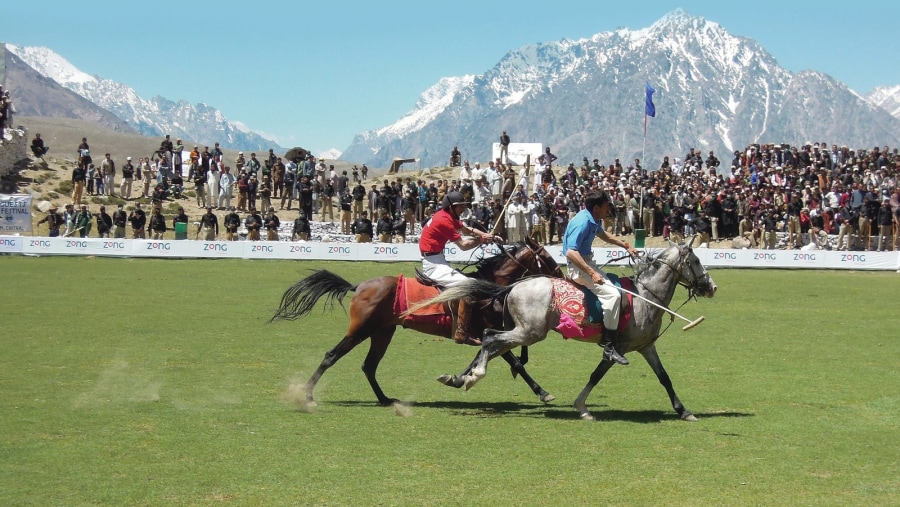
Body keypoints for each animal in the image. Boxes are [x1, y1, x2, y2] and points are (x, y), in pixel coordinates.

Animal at [270, 236, 560, 406]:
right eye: (547, 258)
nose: (561, 275)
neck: (489, 288)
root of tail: (359, 286)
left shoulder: (489, 333)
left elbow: (489, 358)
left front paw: (457, 378)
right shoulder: (483, 331)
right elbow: (513, 362)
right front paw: (542, 391)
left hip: (383, 332)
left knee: (369, 365)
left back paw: (384, 399)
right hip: (361, 329)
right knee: (332, 355)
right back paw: (307, 394)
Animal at [414, 242, 716, 420]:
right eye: (697, 261)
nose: (711, 287)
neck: (645, 297)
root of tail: (512, 285)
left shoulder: (645, 346)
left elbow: (664, 377)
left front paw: (683, 410)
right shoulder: (618, 348)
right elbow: (597, 374)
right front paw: (582, 407)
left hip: (523, 330)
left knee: (493, 345)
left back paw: (462, 378)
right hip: (530, 332)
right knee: (490, 339)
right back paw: (474, 377)